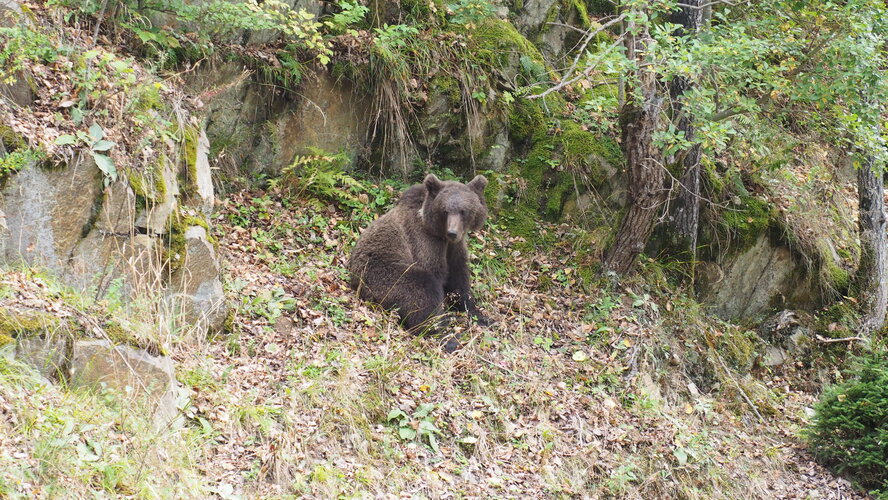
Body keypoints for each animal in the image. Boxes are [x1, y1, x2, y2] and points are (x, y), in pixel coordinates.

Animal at [346, 174, 490, 350]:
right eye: (445, 211)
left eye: (463, 211)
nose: (452, 232)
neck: (440, 235)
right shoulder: (425, 242)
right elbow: (436, 276)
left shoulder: (454, 249)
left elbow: (459, 280)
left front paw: (480, 315)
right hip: (382, 275)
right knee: (422, 287)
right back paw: (446, 336)